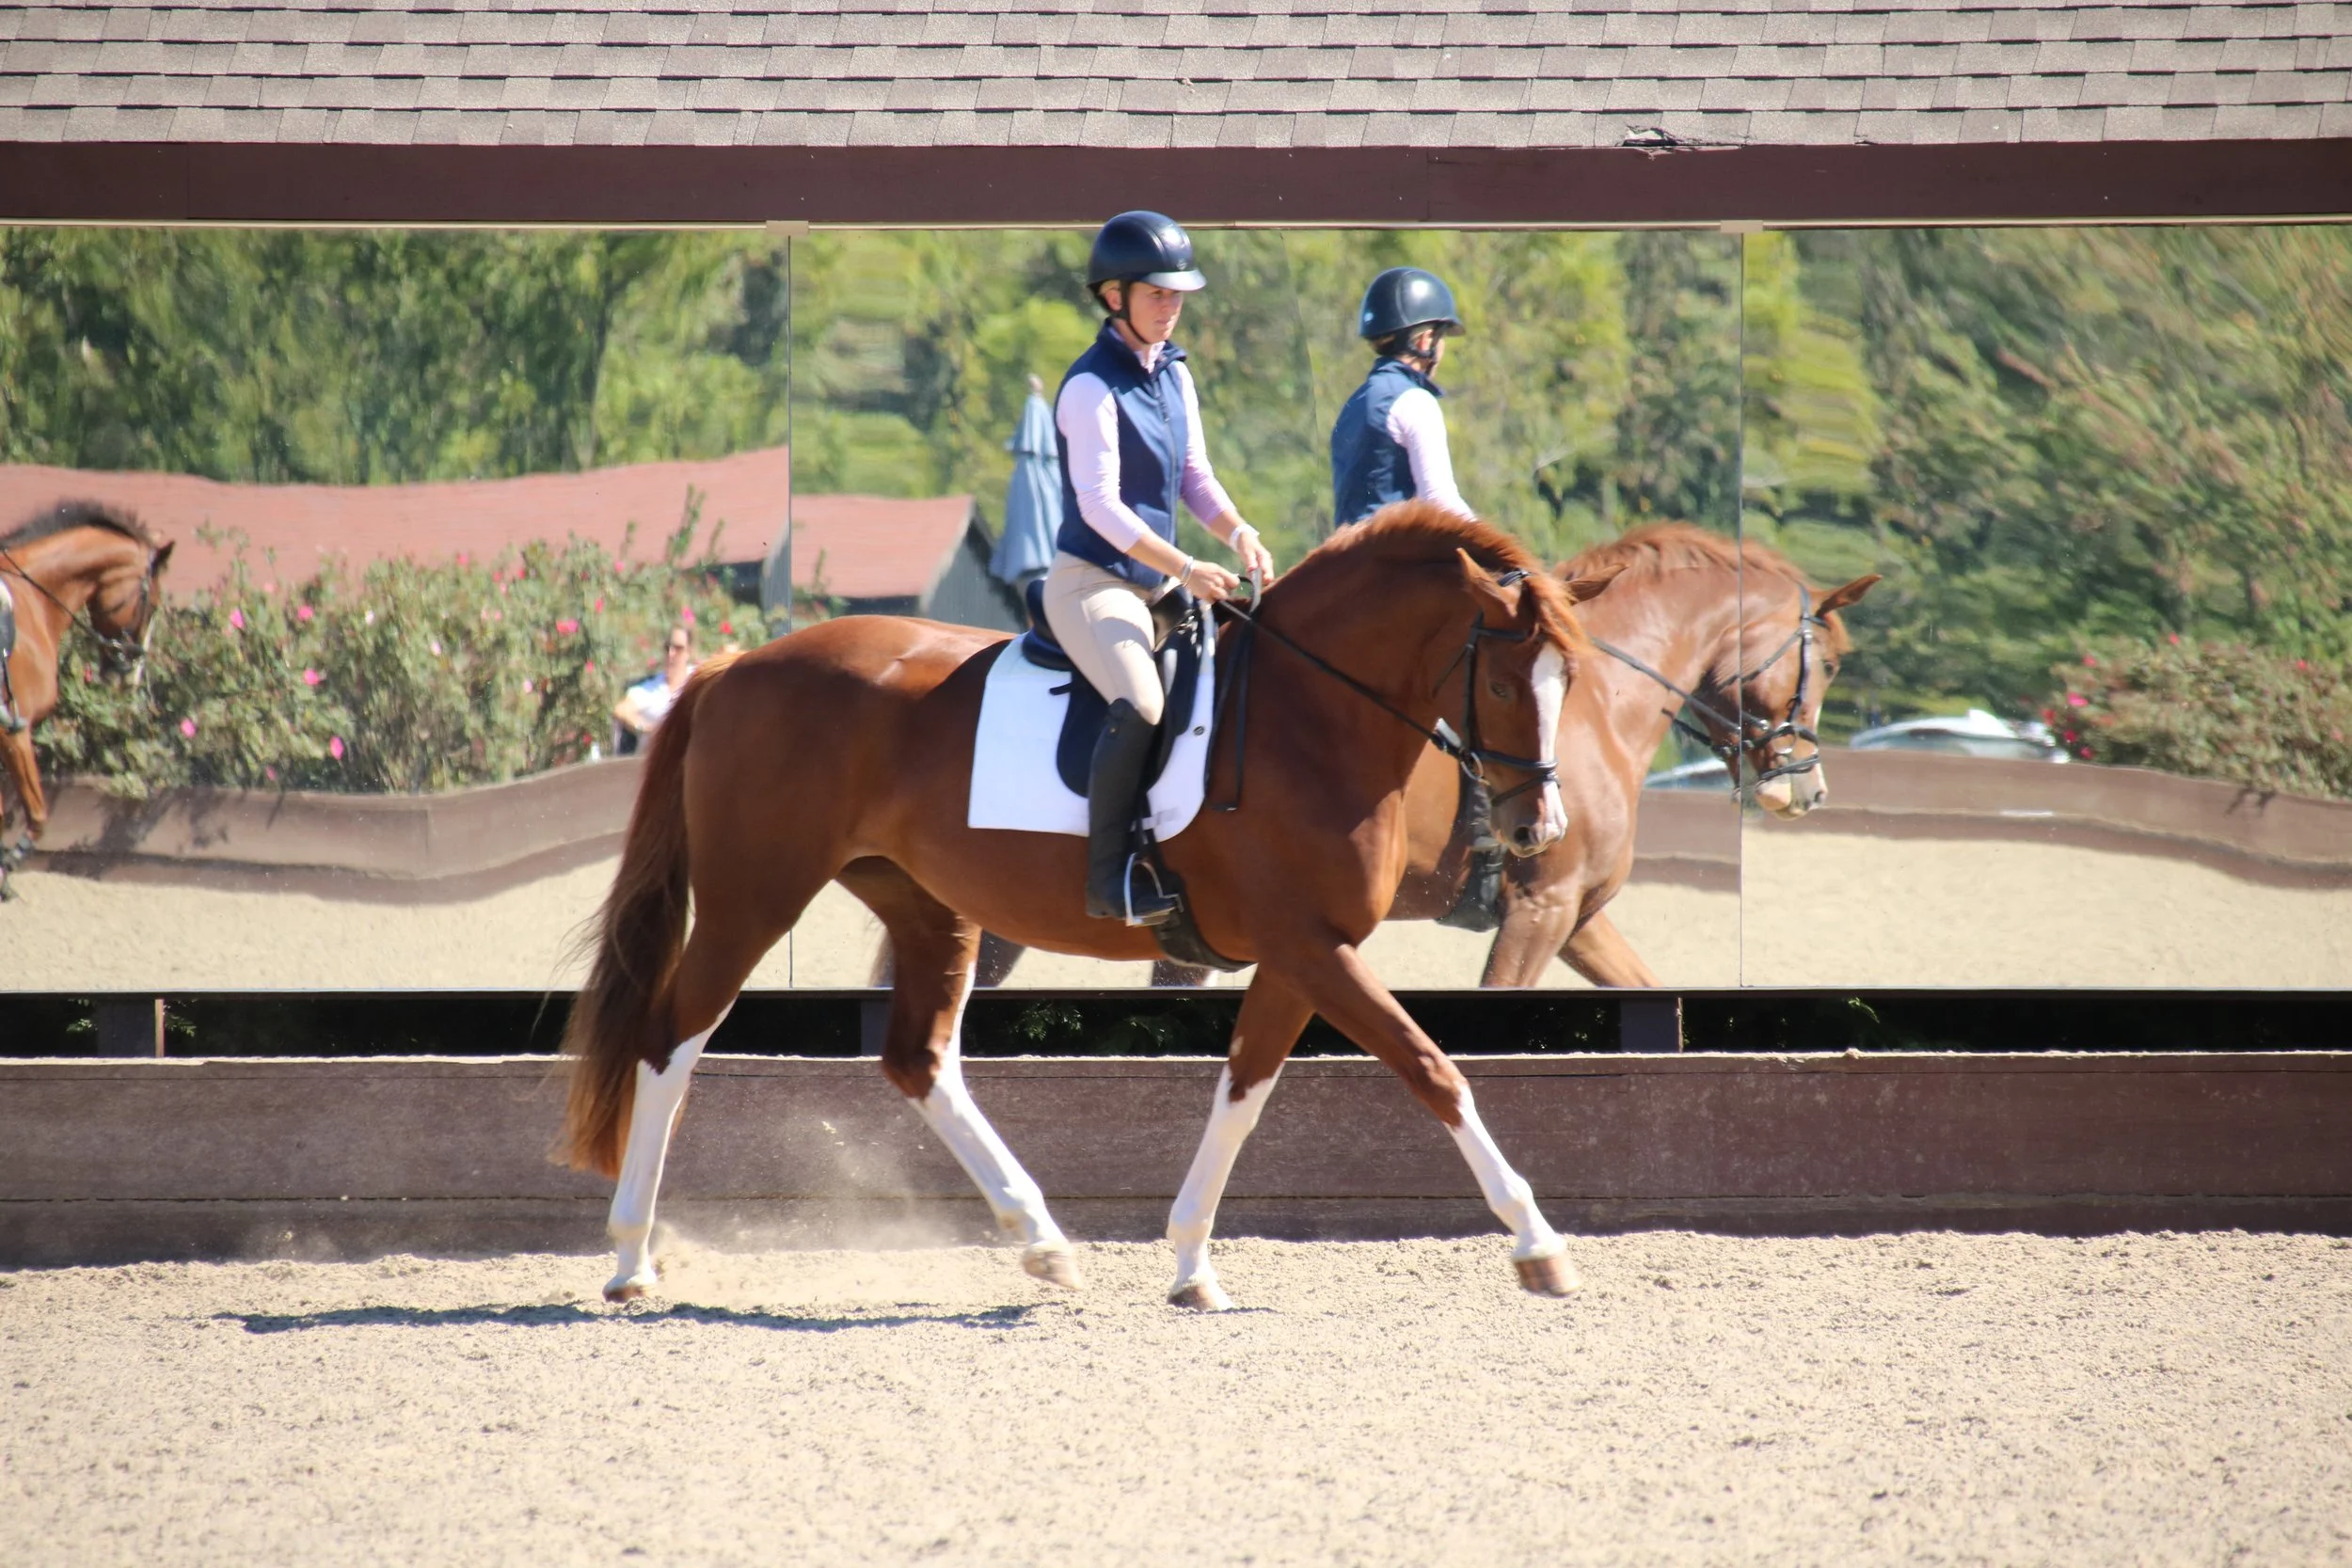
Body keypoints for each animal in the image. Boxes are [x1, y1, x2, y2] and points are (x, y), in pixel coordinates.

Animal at [0, 502, 174, 899]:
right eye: (151, 602)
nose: (130, 675)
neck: (33, 600)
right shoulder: (14, 731)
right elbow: (36, 814)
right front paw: (8, 865)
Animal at [558, 503, 1624, 1310]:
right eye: (1500, 680)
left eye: (1568, 678)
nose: (1536, 827)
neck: (1310, 717)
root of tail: (735, 666)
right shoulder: (1314, 948)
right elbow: (1432, 1068)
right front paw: (1539, 1244)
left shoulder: (1298, 955)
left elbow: (1243, 1093)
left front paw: (1192, 1263)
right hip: (754, 896)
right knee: (671, 1039)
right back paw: (630, 1257)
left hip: (930, 908)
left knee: (919, 1059)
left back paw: (1040, 1238)